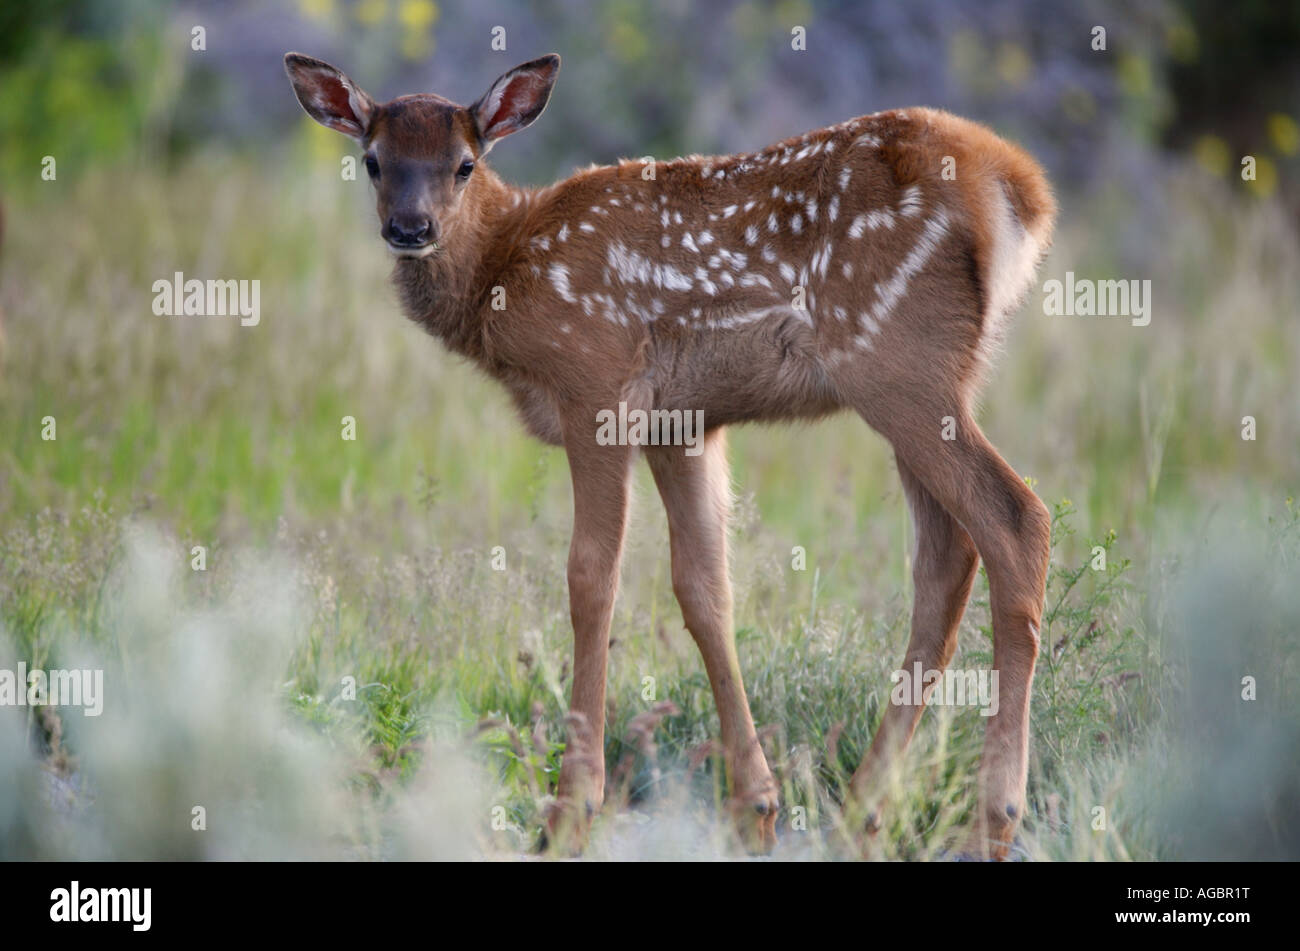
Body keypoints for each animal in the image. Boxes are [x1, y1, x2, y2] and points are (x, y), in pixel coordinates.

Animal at [285, 51, 1056, 860]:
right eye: (373, 160)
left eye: (465, 164)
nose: (410, 227)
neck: (508, 267)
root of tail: (1017, 187)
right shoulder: (682, 423)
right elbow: (705, 589)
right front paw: (754, 807)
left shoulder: (595, 381)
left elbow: (592, 578)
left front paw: (572, 808)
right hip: (930, 376)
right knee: (947, 556)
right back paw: (861, 811)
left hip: (895, 359)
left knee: (1016, 520)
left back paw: (992, 817)